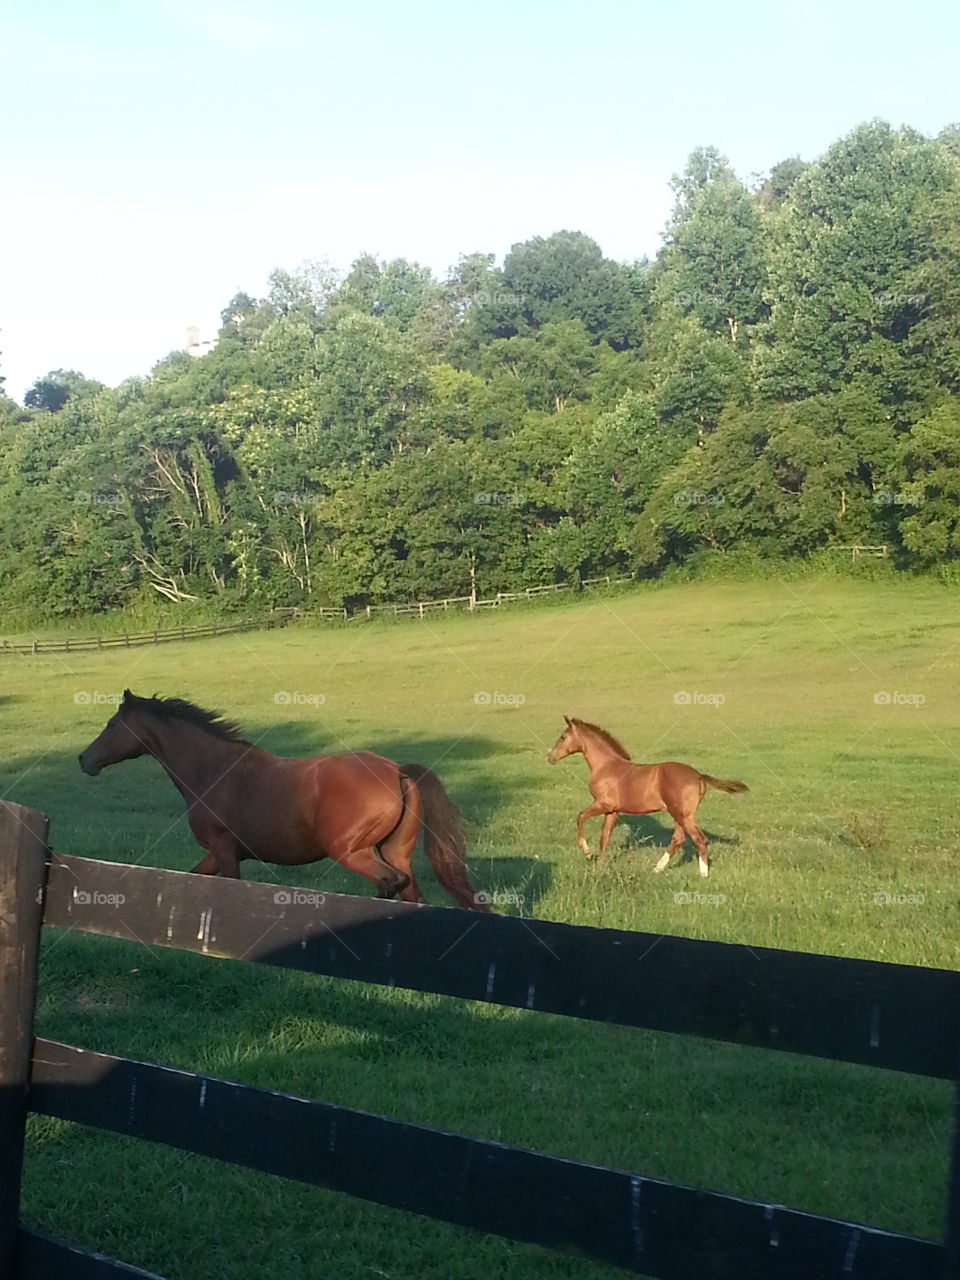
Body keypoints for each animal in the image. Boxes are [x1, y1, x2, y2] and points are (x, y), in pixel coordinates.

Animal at [78, 690, 490, 911]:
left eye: (111, 725)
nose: (85, 760)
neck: (214, 769)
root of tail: (395, 770)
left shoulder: (225, 851)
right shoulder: (218, 853)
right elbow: (194, 878)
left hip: (352, 851)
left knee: (390, 883)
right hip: (394, 850)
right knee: (410, 893)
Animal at [546, 716, 747, 877]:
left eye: (563, 736)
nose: (550, 757)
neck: (606, 766)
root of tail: (698, 775)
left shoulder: (603, 804)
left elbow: (580, 817)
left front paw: (587, 853)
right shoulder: (613, 811)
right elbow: (605, 837)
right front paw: (600, 866)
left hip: (682, 815)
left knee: (699, 840)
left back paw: (703, 875)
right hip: (679, 815)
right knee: (679, 839)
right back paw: (657, 869)